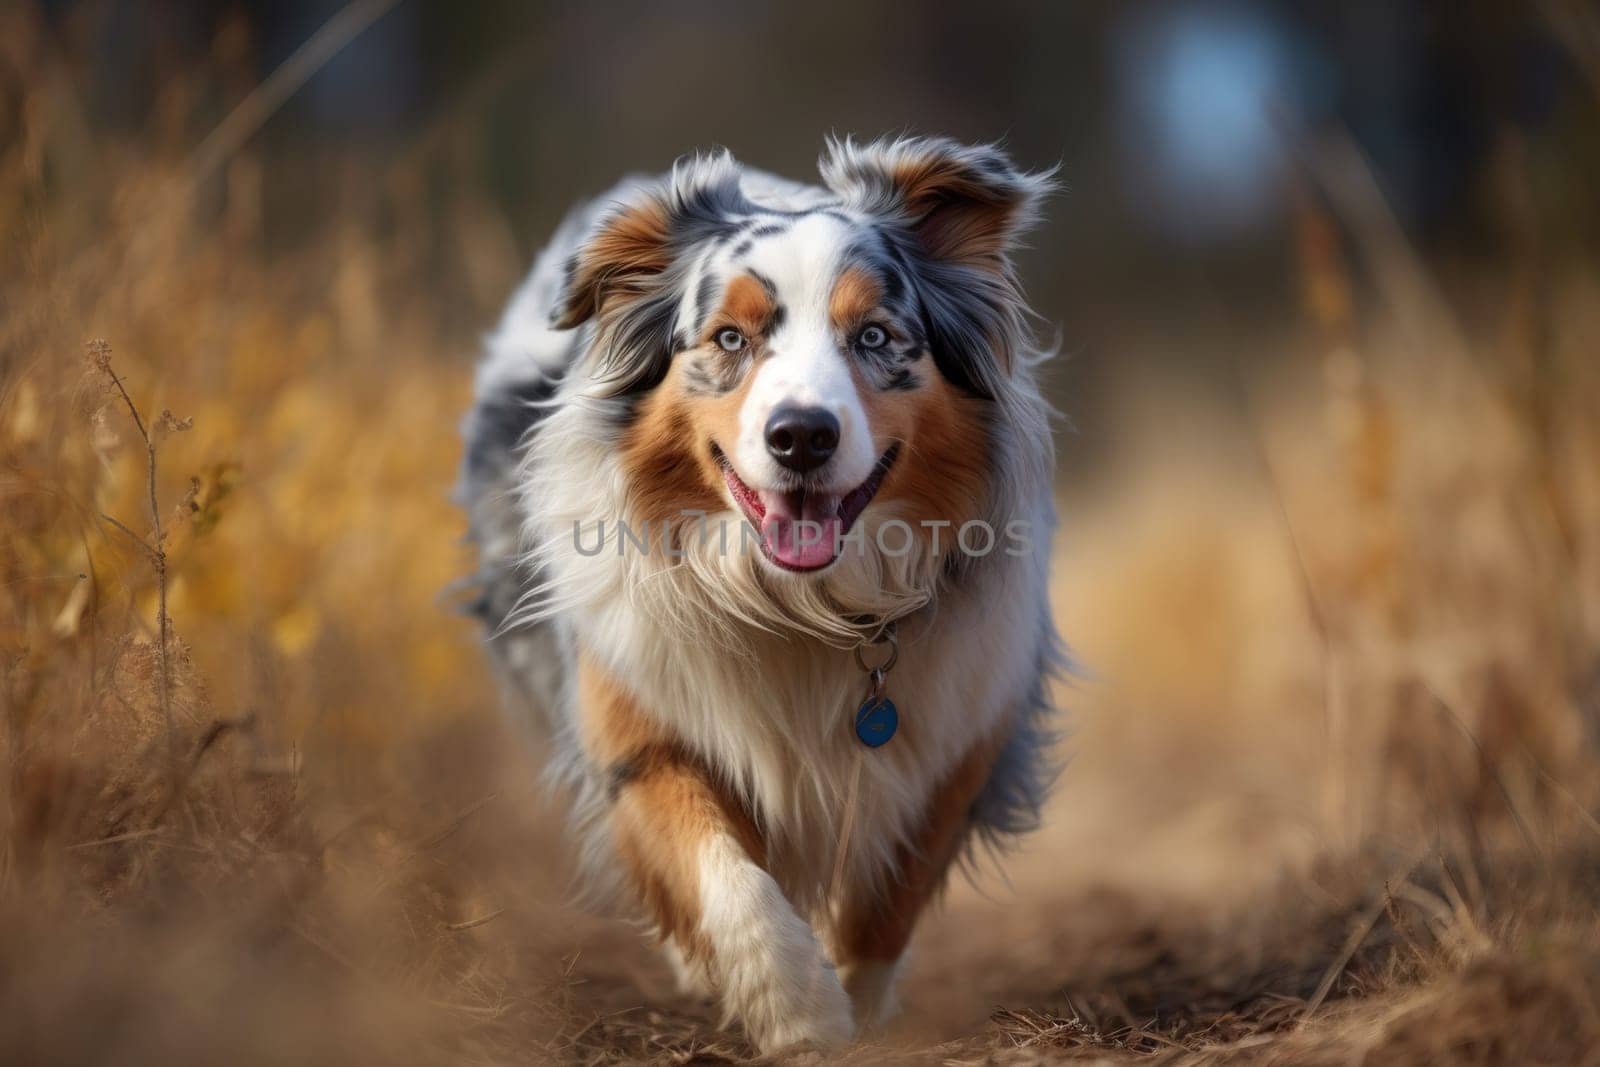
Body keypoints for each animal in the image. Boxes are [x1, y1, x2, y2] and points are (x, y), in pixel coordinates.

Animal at [457, 133, 1068, 1049]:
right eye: (730, 338)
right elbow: (722, 871)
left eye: (876, 334)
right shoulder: (640, 728)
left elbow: (892, 894)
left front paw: (859, 1004)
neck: (798, 604)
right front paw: (798, 1009)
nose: (802, 435)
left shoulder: (963, 723)